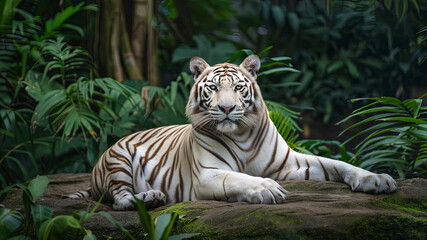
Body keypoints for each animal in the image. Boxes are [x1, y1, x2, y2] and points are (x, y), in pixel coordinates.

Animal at [67, 54, 398, 210]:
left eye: (238, 87)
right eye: (213, 88)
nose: (226, 108)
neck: (243, 135)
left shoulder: (290, 163)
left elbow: (337, 164)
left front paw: (377, 179)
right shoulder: (207, 174)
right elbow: (239, 178)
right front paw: (266, 189)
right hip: (118, 160)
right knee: (120, 198)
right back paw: (149, 198)